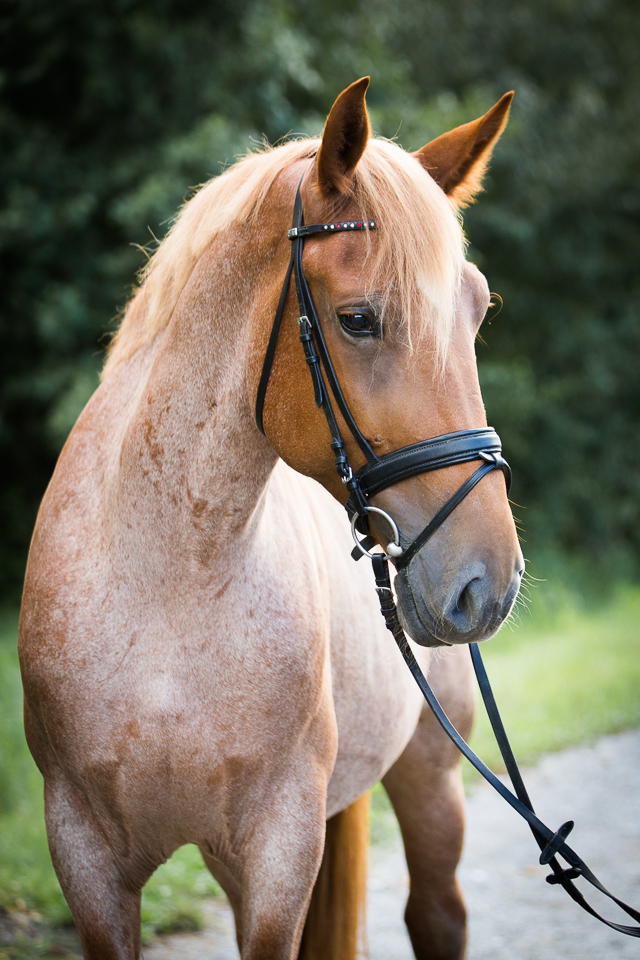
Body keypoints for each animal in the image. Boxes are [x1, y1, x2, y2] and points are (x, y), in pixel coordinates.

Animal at [20, 77, 524, 960]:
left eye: (476, 312)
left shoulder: (278, 851)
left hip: (431, 778)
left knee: (437, 916)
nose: (486, 584)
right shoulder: (84, 855)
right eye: (358, 319)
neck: (168, 587)